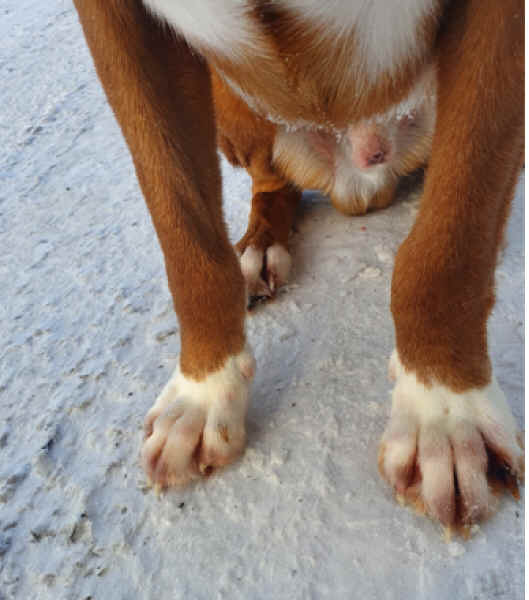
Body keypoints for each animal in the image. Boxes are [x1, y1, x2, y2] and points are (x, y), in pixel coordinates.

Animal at [73, 1, 524, 533]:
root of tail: (355, 182)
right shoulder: (118, 27)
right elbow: (186, 237)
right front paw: (204, 390)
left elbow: (451, 237)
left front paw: (446, 412)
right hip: (231, 104)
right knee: (272, 182)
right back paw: (259, 247)